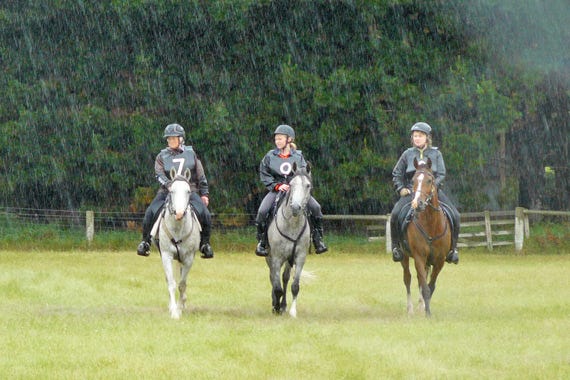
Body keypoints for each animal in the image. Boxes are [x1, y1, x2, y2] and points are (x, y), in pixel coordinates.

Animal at [154, 168, 201, 320]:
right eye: (172, 191)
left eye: (188, 191)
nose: (179, 214)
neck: (178, 228)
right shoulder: (166, 255)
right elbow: (172, 283)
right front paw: (174, 311)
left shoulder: (188, 258)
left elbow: (182, 284)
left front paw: (180, 308)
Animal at [266, 163, 310, 318]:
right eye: (291, 184)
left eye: (308, 185)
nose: (296, 207)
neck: (292, 225)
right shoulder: (276, 257)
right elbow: (277, 286)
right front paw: (276, 307)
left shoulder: (300, 257)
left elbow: (294, 285)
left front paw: (292, 311)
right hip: (270, 257)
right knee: (272, 277)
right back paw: (276, 304)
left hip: (289, 260)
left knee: (285, 278)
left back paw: (284, 305)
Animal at [402, 157, 450, 318]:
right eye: (413, 180)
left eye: (430, 180)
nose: (418, 204)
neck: (431, 224)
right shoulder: (419, 257)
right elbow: (424, 286)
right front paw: (427, 313)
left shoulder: (439, 260)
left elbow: (430, 286)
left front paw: (426, 310)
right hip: (404, 256)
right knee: (408, 278)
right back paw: (410, 309)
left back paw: (420, 306)